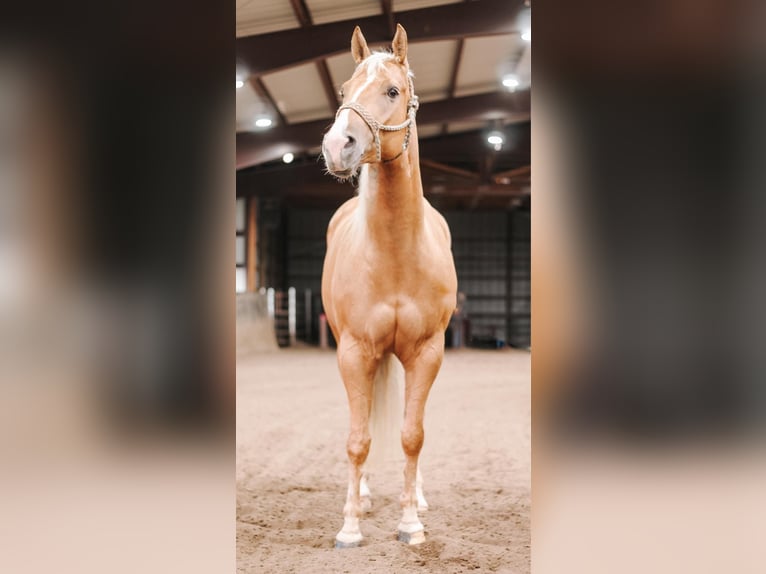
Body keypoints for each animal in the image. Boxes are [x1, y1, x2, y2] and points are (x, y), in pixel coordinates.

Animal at [321, 24, 458, 548]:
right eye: (344, 91)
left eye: (393, 91)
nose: (336, 146)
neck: (397, 255)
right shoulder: (354, 352)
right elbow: (358, 440)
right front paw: (350, 526)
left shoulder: (426, 352)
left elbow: (412, 435)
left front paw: (410, 522)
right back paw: (360, 496)